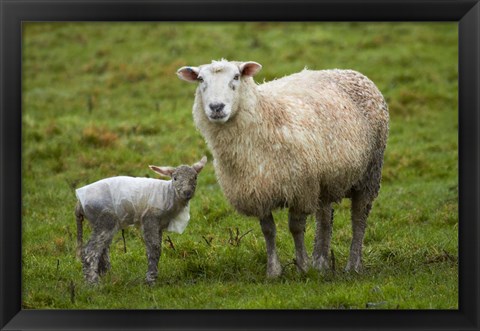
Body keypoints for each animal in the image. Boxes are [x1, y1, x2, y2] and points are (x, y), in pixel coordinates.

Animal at [178, 59, 388, 278]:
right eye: (200, 79)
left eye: (236, 76)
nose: (216, 107)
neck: (267, 116)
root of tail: (349, 71)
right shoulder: (258, 191)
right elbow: (268, 230)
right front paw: (274, 271)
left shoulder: (300, 190)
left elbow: (296, 228)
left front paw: (302, 267)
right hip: (324, 179)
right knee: (324, 218)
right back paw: (320, 263)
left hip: (370, 173)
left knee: (359, 218)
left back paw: (352, 265)